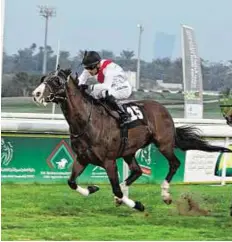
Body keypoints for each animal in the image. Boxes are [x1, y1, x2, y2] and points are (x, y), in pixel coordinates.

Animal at [32, 67, 232, 212]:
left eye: (56, 81)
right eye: (43, 79)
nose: (36, 94)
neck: (87, 122)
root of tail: (163, 109)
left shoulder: (109, 161)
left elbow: (115, 189)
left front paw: (138, 205)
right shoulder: (82, 158)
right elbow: (71, 182)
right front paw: (93, 188)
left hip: (164, 144)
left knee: (174, 163)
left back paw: (165, 195)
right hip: (129, 151)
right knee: (137, 171)